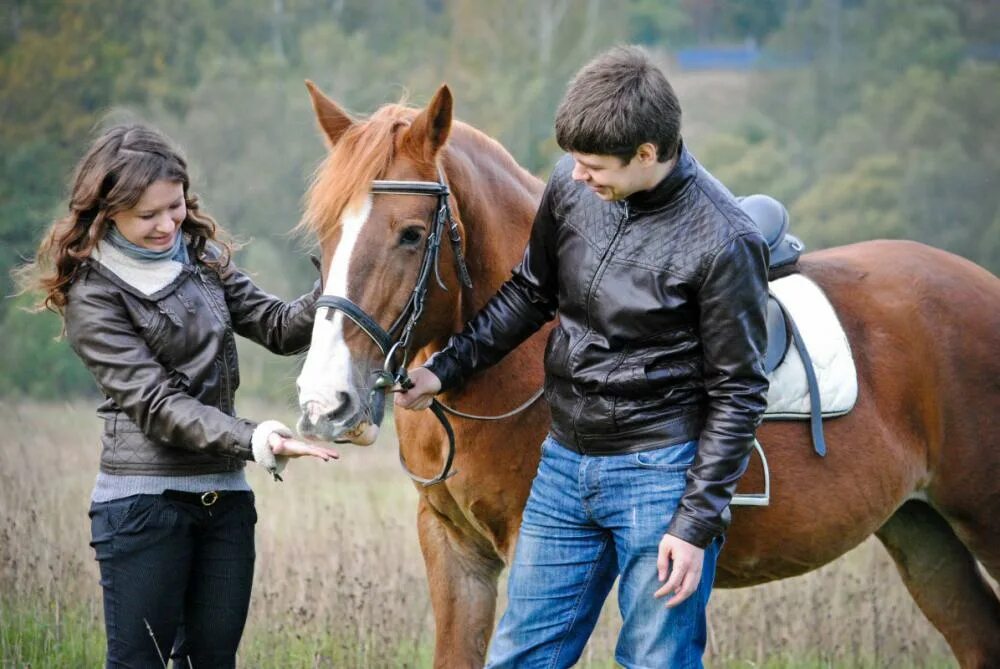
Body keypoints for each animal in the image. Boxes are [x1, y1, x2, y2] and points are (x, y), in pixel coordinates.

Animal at [292, 83, 1000, 668]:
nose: (327, 403)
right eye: (323, 237)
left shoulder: (535, 546)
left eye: (412, 235)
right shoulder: (454, 549)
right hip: (920, 529)